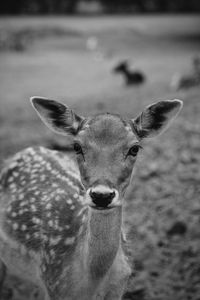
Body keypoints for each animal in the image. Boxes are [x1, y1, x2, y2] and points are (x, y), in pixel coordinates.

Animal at [0, 97, 183, 298]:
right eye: (76, 146)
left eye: (135, 148)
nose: (102, 195)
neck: (92, 279)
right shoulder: (52, 283)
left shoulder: (119, 287)